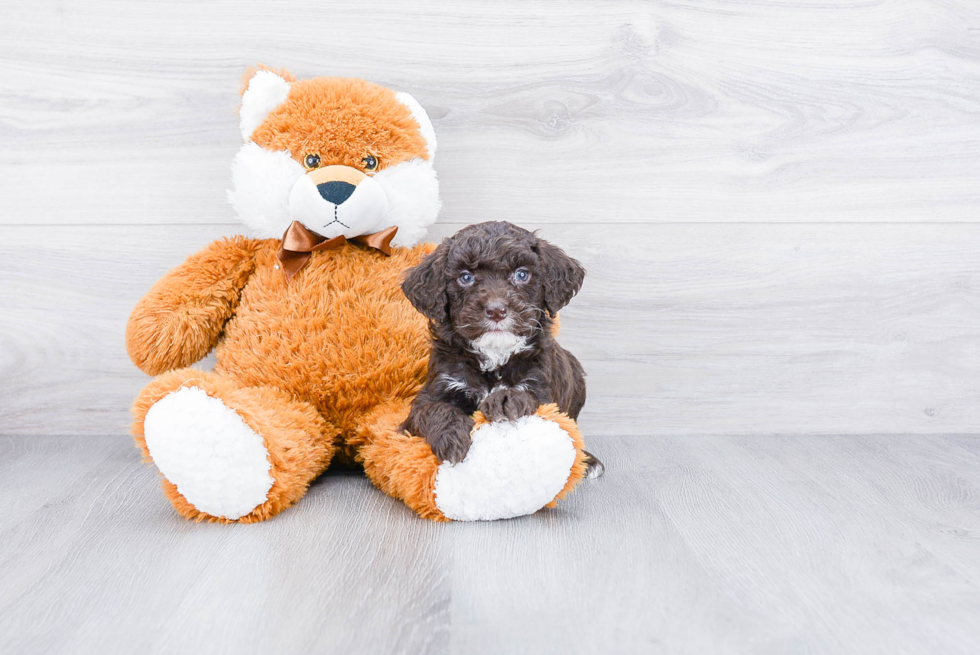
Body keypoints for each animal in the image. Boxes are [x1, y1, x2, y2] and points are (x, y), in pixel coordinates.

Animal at [400, 220, 600, 476]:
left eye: (522, 274)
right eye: (466, 277)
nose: (496, 310)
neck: (494, 355)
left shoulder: (543, 388)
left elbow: (530, 396)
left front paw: (506, 399)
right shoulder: (433, 391)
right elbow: (433, 409)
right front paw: (453, 438)